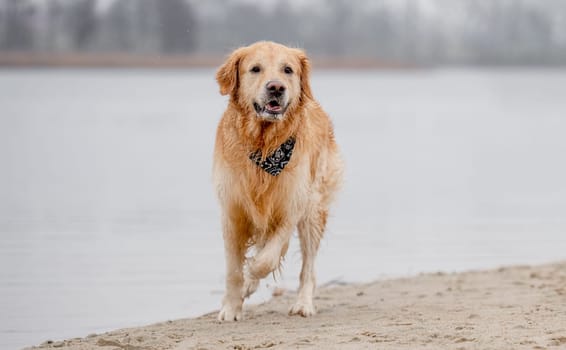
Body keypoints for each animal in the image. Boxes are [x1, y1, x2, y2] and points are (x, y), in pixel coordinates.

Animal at [214, 40, 342, 320]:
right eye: (255, 69)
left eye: (287, 70)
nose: (276, 87)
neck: (264, 146)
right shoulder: (232, 211)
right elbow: (233, 270)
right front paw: (231, 307)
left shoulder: (292, 205)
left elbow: (267, 257)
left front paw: (253, 271)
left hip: (313, 211)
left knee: (307, 268)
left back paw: (303, 304)